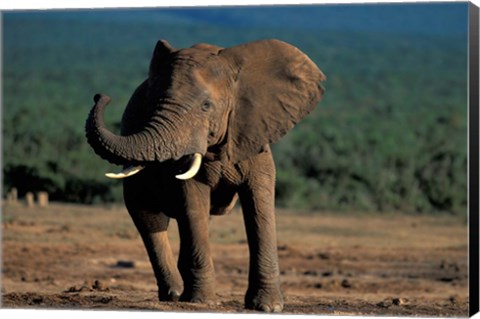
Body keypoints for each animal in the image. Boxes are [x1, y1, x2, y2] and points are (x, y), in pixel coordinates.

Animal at [86, 39, 326, 312]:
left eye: (206, 106)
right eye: (153, 104)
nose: (99, 96)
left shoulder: (254, 134)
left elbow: (259, 201)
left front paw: (268, 307)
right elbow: (190, 197)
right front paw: (202, 302)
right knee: (149, 217)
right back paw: (174, 295)